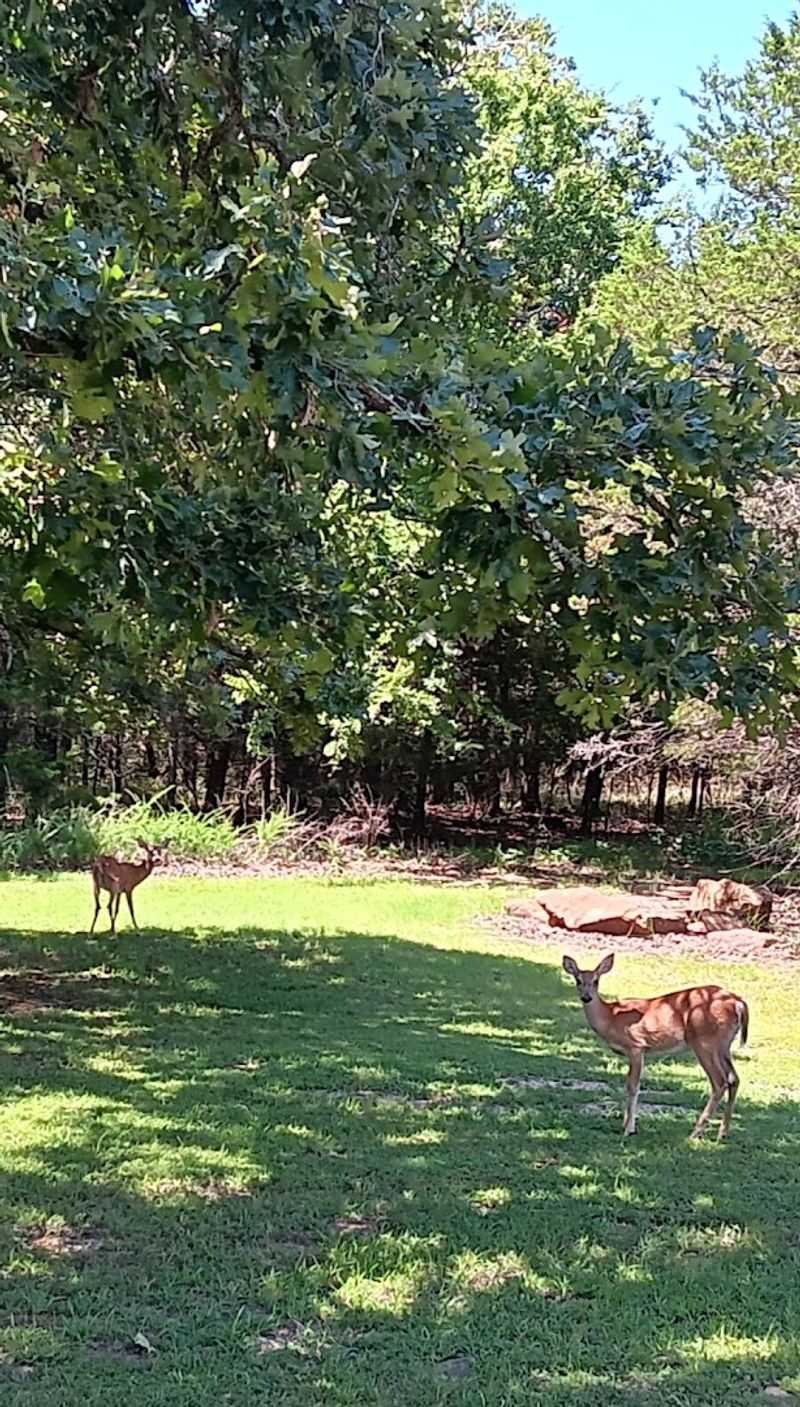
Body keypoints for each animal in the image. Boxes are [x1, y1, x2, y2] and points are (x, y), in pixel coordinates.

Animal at [561, 953, 749, 1141]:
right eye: (578, 980)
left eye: (596, 980)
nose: (586, 997)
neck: (611, 1018)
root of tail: (738, 1003)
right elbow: (629, 1084)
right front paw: (625, 1123)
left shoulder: (636, 1046)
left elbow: (633, 1086)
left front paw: (629, 1129)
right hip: (723, 1045)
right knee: (734, 1078)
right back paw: (723, 1132)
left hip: (704, 1042)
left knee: (719, 1082)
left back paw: (695, 1133)